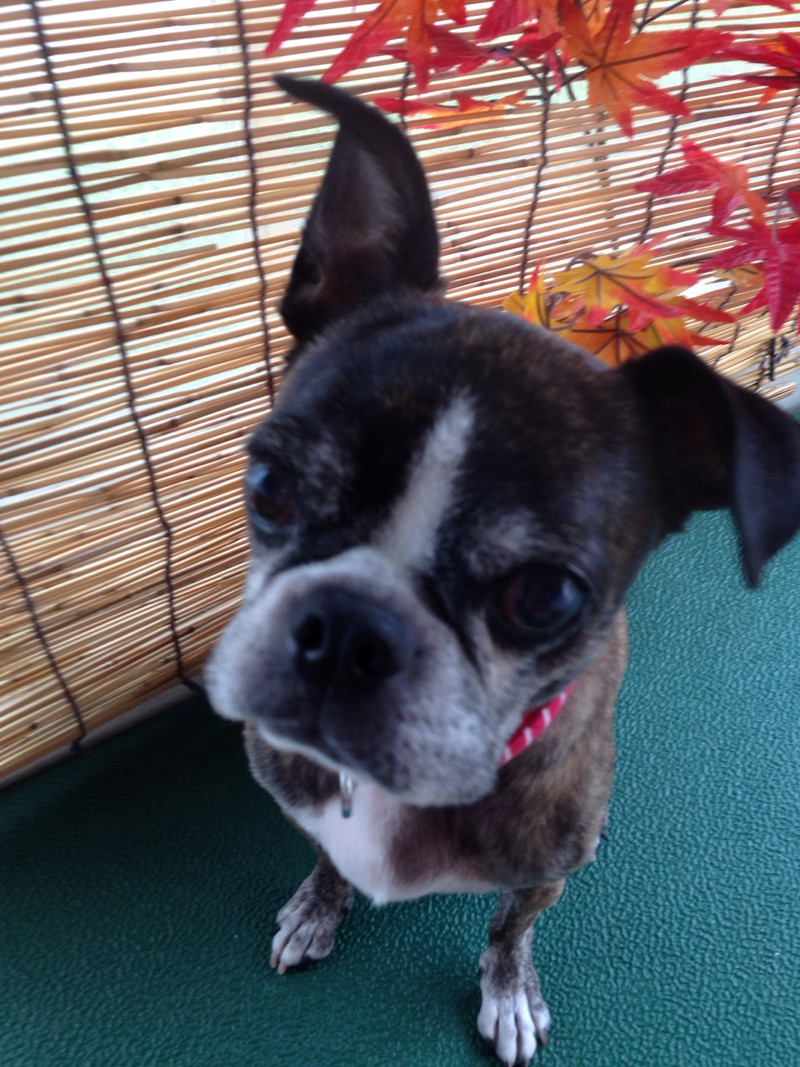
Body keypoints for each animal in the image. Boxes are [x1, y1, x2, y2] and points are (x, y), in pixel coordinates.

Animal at [206, 75, 800, 1065]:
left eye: (546, 596)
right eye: (269, 484)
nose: (347, 629)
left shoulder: (545, 869)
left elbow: (511, 923)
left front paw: (509, 989)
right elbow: (326, 855)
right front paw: (318, 906)